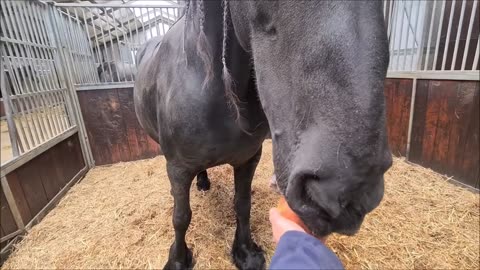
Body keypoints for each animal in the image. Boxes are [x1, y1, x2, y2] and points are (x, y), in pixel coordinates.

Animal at [133, 1, 392, 268]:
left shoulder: (248, 160)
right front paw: (178, 259)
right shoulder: (179, 168)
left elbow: (243, 205)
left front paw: (245, 252)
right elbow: (181, 217)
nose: (350, 190)